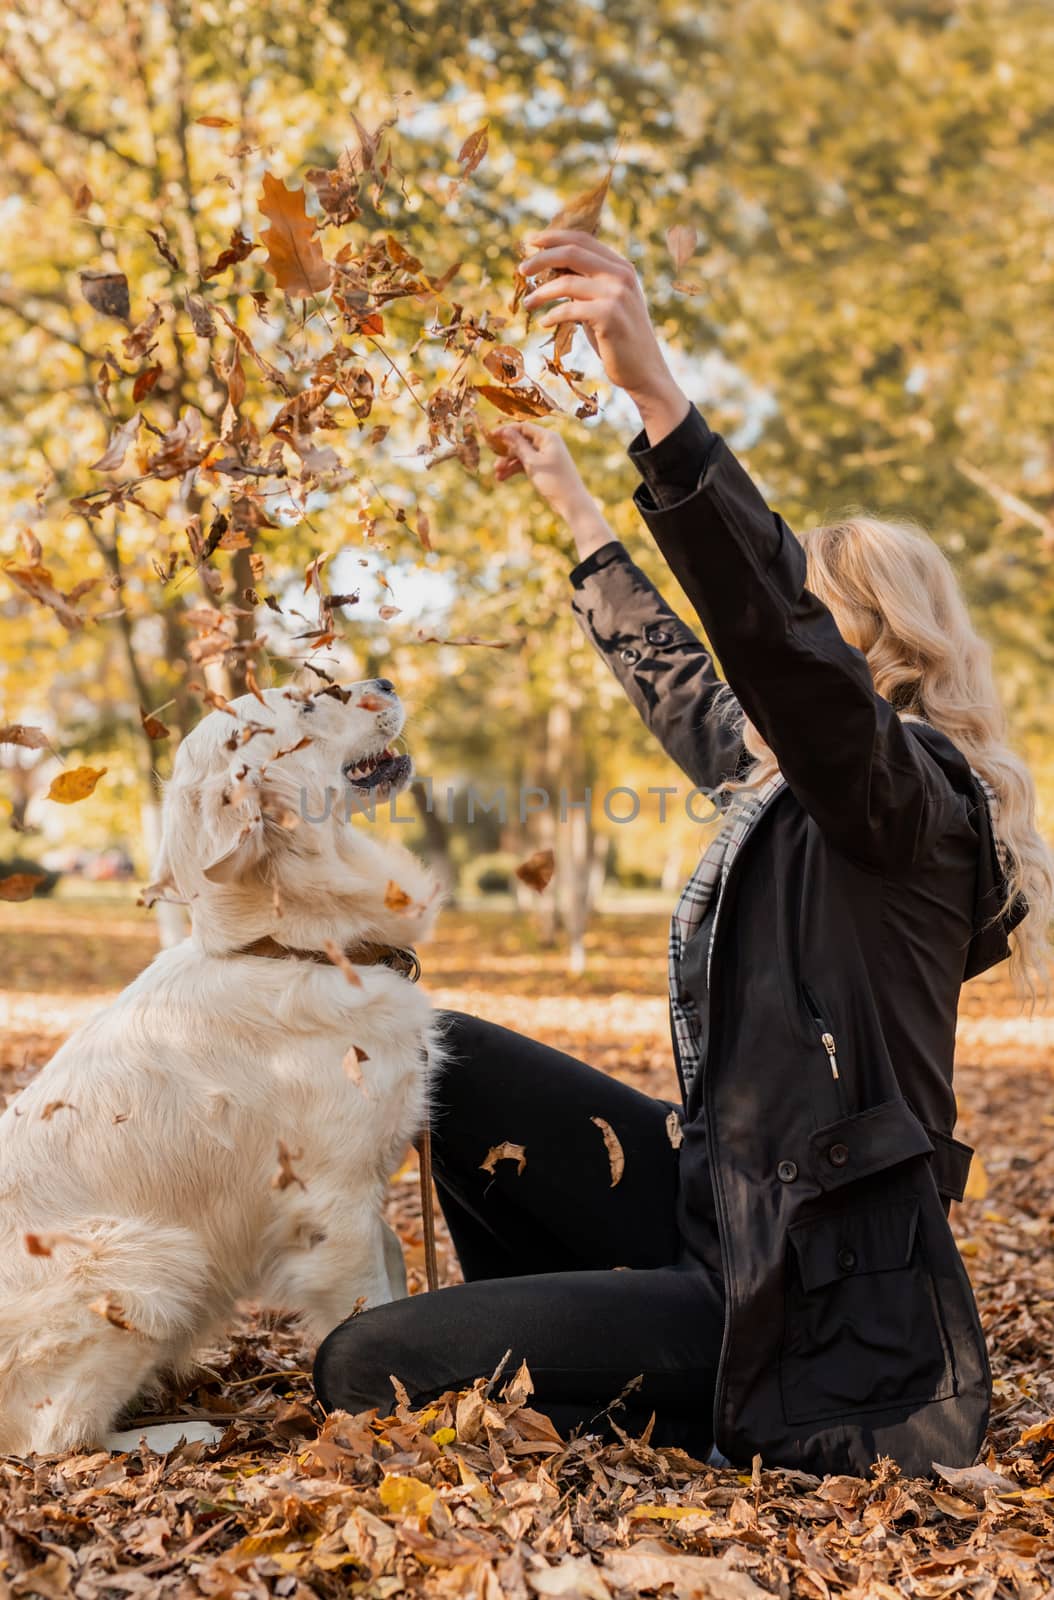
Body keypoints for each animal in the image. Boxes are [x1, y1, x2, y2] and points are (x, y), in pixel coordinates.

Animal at [0, 681, 441, 1459]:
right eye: (306, 703)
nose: (387, 683)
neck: (285, 946)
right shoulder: (331, 1205)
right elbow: (373, 1309)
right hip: (151, 1259)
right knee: (56, 1440)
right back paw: (191, 1431)